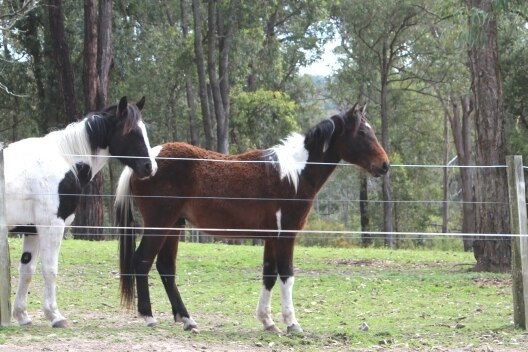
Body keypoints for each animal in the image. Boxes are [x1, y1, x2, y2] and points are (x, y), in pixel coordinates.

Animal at [4, 96, 158, 328]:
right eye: (131, 132)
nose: (150, 167)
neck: (64, 160)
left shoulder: (32, 230)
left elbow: (27, 271)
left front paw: (22, 315)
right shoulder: (52, 226)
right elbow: (50, 270)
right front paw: (55, 316)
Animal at [114, 104, 388, 332]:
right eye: (362, 132)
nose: (384, 165)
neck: (295, 173)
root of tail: (146, 162)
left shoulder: (271, 237)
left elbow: (269, 275)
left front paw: (268, 322)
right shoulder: (286, 235)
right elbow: (286, 275)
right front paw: (292, 324)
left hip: (174, 225)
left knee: (166, 268)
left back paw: (187, 320)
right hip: (159, 224)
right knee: (142, 261)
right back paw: (149, 317)